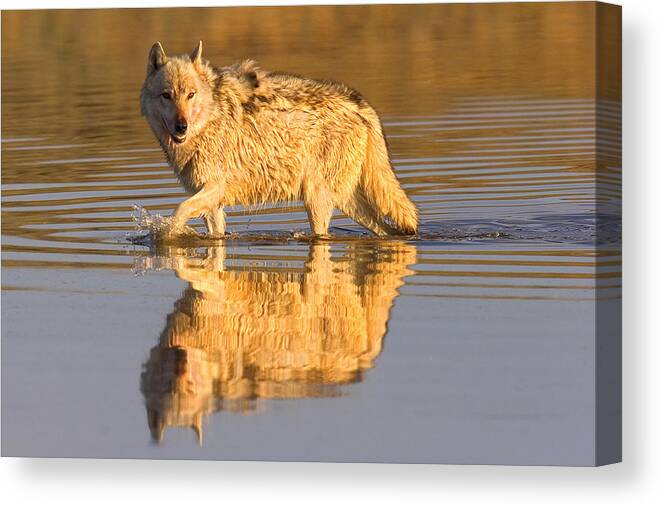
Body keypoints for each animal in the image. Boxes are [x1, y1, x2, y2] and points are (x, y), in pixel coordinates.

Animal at [140, 41, 418, 237]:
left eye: (191, 95)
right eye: (166, 95)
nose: (181, 127)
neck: (210, 117)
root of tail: (360, 103)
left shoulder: (214, 189)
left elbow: (179, 211)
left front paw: (166, 236)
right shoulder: (212, 201)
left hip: (316, 200)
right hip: (346, 201)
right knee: (387, 229)